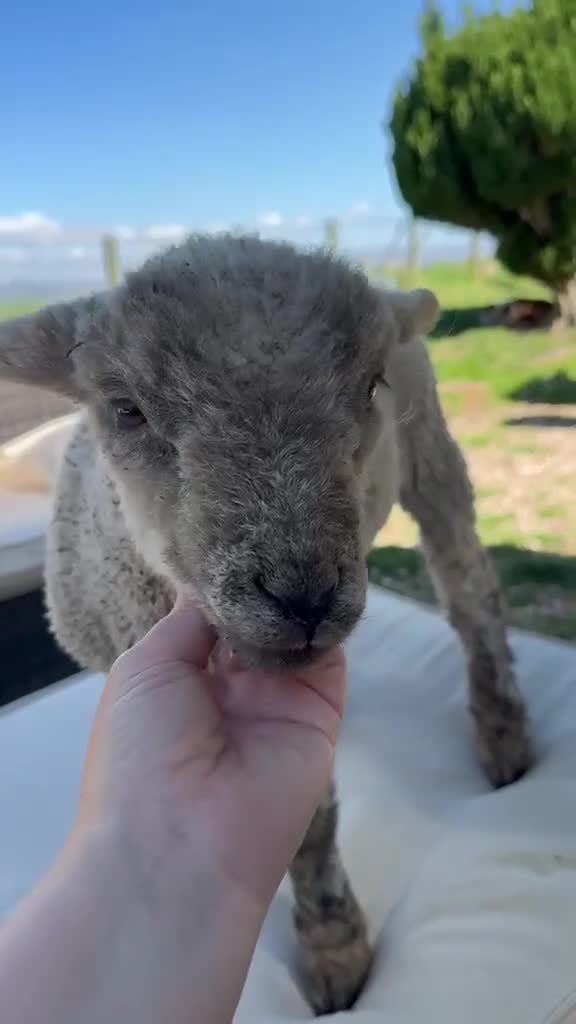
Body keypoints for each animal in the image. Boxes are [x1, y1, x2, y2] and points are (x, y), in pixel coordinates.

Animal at [0, 234, 532, 1015]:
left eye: (370, 384)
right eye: (126, 410)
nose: (302, 596)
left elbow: (312, 827)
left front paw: (334, 948)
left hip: (433, 451)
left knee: (471, 589)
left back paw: (503, 732)